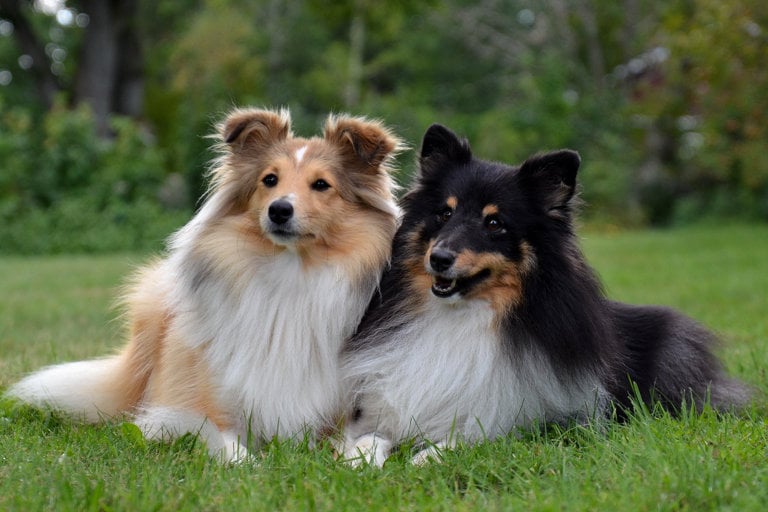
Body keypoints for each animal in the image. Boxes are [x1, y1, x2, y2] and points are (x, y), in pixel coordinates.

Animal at [7, 106, 402, 462]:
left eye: (321, 185)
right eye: (269, 179)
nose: (279, 210)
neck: (291, 274)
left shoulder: (351, 414)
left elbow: (368, 441)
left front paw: (360, 461)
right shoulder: (200, 411)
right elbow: (228, 445)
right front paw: (249, 467)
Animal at [340, 123, 752, 464]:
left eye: (495, 223)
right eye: (444, 213)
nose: (438, 259)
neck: (465, 315)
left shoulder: (540, 418)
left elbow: (474, 433)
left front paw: (429, 455)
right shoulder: (382, 403)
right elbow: (370, 434)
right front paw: (360, 457)